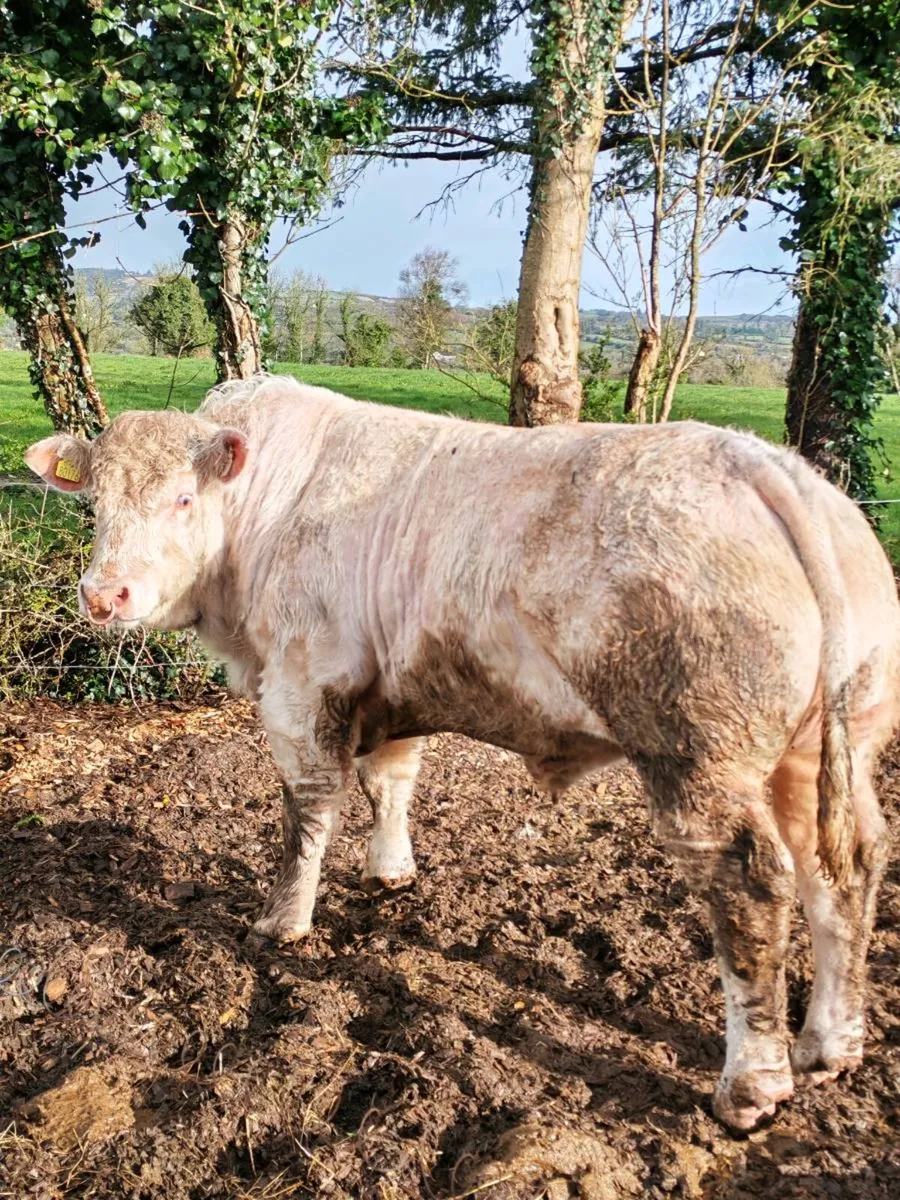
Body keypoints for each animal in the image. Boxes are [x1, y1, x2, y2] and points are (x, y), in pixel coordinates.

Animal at [25, 374, 900, 1133]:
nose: (103, 595)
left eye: (181, 498)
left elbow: (307, 812)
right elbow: (392, 780)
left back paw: (752, 1085)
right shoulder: (389, 685)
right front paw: (390, 871)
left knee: (753, 887)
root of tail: (763, 462)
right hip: (826, 751)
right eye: (93, 504)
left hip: (698, 761)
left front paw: (281, 922)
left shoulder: (304, 681)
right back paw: (831, 1043)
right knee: (844, 867)